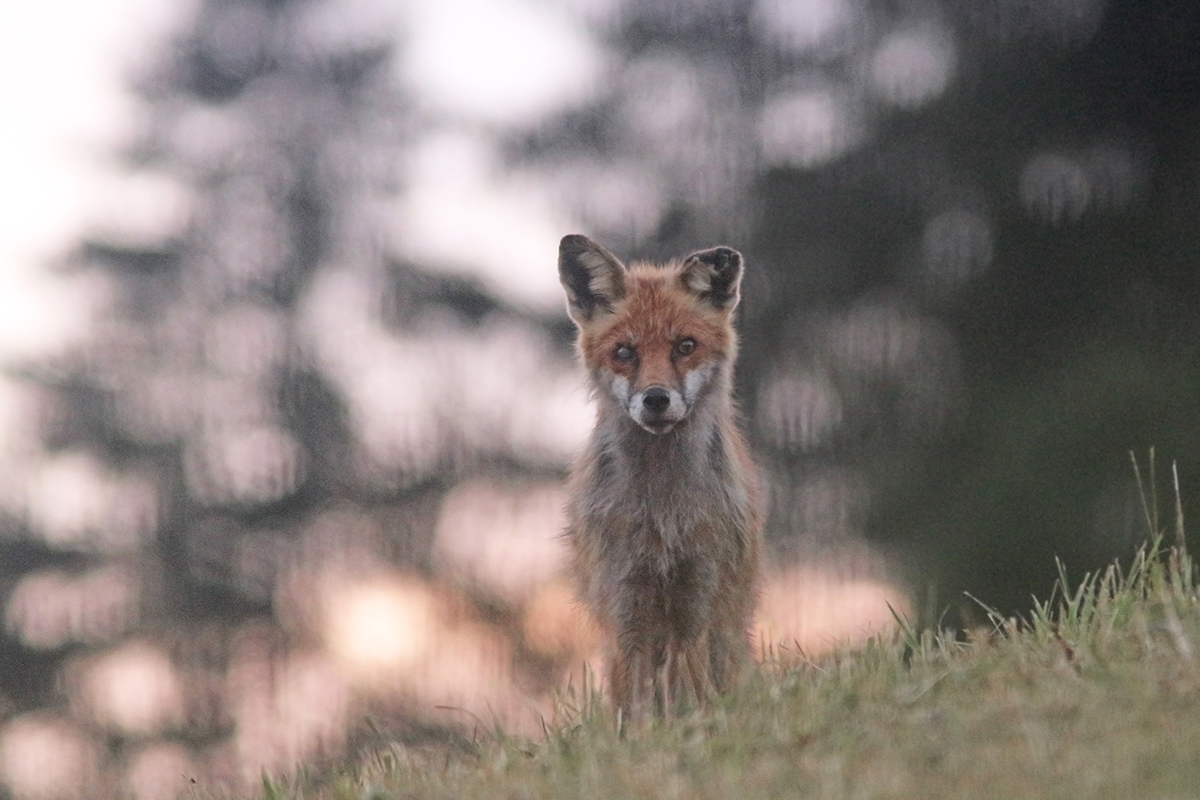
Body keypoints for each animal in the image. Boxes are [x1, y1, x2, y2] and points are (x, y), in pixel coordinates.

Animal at [556, 235, 763, 724]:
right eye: (624, 353)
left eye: (685, 346)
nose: (655, 399)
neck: (663, 514)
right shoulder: (626, 605)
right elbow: (636, 711)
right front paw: (644, 739)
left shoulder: (696, 600)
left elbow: (693, 696)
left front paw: (699, 731)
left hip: (722, 626)